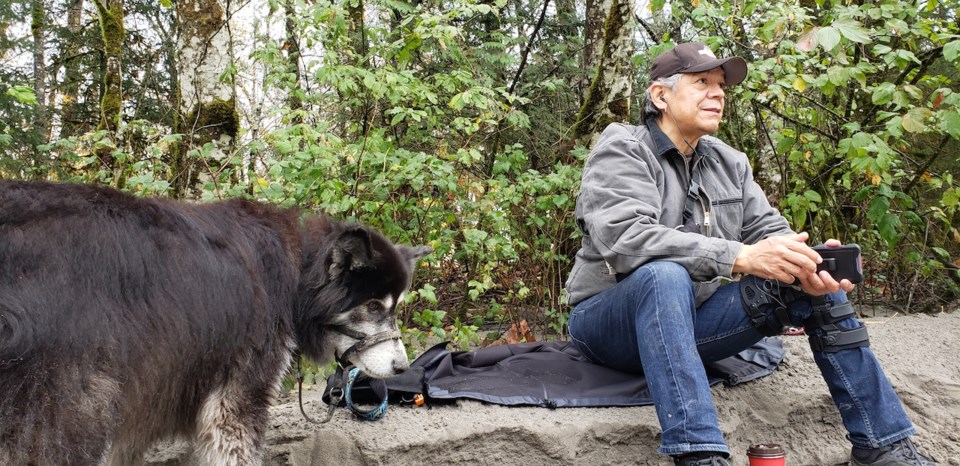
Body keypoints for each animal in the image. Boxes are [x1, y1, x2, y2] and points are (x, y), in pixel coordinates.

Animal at [0, 180, 430, 464]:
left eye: (393, 307)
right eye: (373, 307)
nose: (403, 366)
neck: (298, 273)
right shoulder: (235, 398)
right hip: (72, 410)